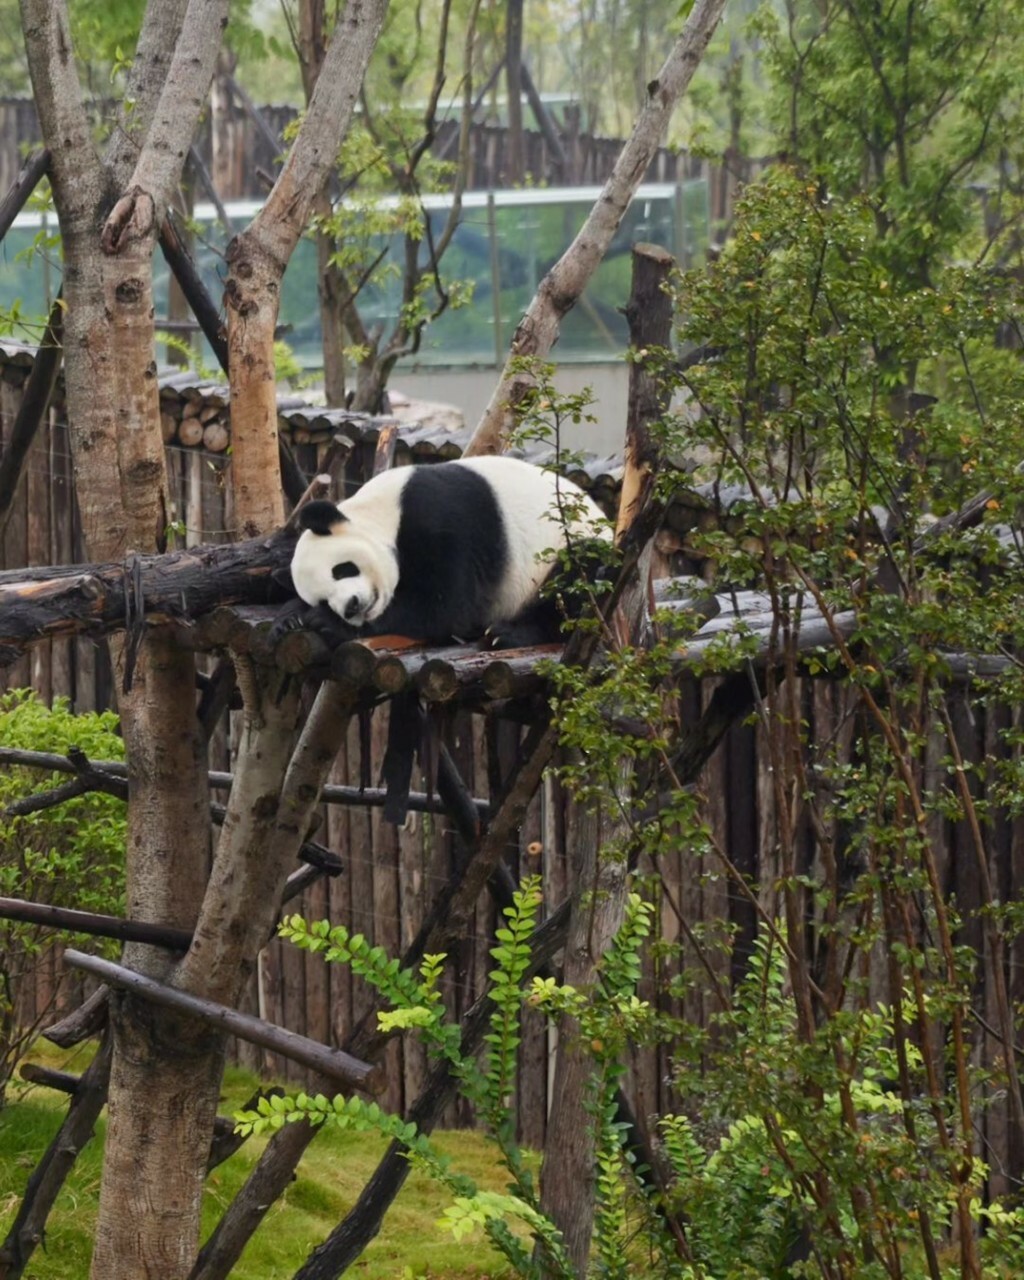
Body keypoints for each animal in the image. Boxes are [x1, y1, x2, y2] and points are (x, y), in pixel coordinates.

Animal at [285, 455, 610, 648]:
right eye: (323, 599)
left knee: (577, 579)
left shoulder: (442, 520)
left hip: (573, 546)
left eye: (341, 569)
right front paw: (293, 617)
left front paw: (325, 623)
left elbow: (444, 608)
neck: (383, 512)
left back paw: (507, 634)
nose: (350, 607)